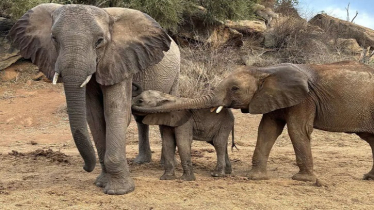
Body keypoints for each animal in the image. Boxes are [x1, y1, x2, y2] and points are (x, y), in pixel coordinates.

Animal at [7, 2, 180, 195]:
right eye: (53, 38)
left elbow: (115, 111)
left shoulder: (119, 60)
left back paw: (165, 164)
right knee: (140, 120)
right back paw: (141, 161)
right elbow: (94, 116)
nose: (85, 167)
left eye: (99, 41)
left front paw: (119, 191)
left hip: (175, 75)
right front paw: (101, 182)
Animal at [132, 60, 374, 182]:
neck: (266, 70)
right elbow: (267, 129)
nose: (136, 101)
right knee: (371, 139)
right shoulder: (270, 97)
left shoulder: (304, 99)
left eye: (234, 88)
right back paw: (368, 178)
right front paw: (254, 177)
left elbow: (297, 130)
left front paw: (302, 180)